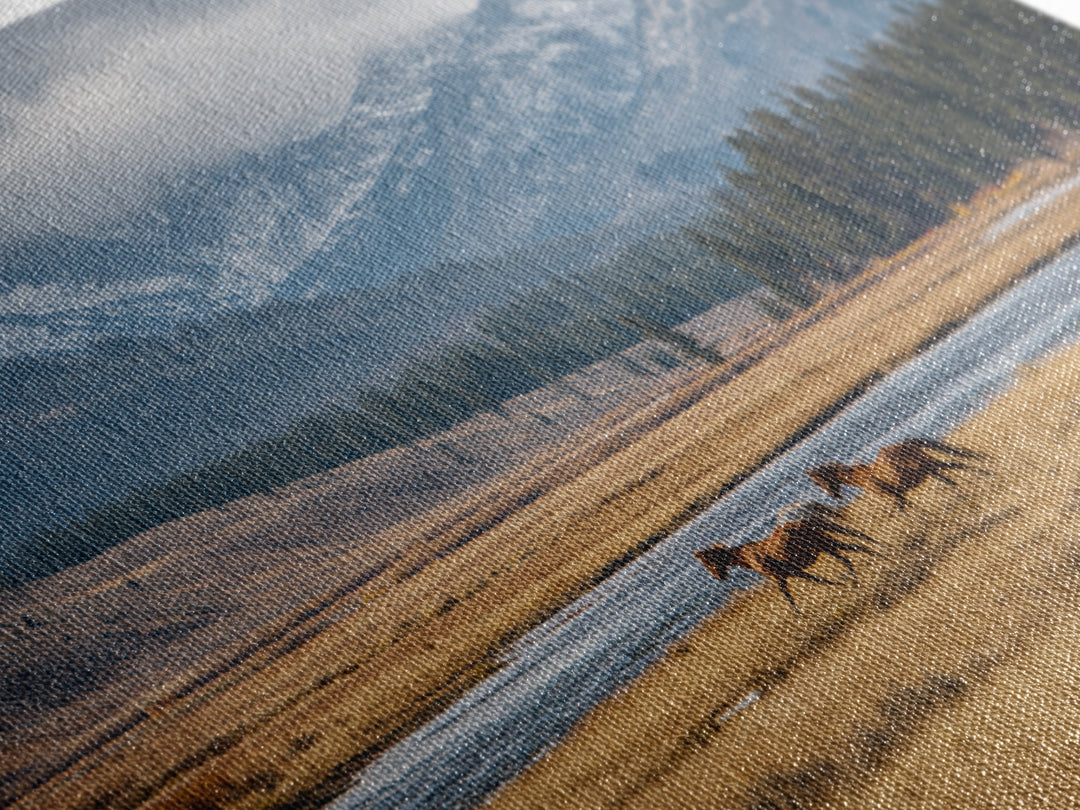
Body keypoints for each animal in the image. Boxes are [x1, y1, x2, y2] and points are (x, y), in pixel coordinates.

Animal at [807, 438, 989, 510]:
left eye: (818, 481)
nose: (835, 496)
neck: (862, 477)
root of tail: (908, 441)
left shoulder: (895, 495)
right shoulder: (900, 496)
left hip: (928, 466)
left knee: (957, 465)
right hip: (930, 468)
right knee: (956, 467)